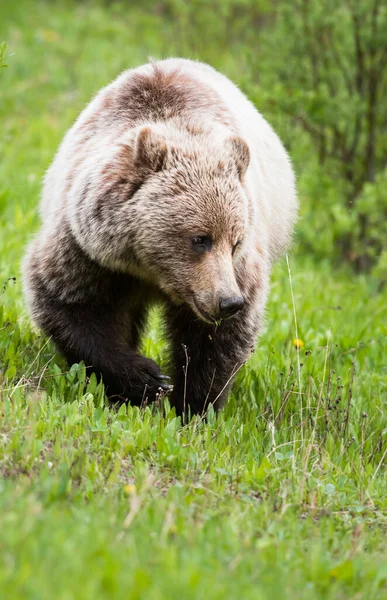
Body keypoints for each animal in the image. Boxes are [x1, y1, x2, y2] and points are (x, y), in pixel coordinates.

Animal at [22, 59, 298, 418]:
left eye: (235, 241)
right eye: (200, 238)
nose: (228, 301)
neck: (151, 270)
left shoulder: (235, 271)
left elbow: (215, 342)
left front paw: (193, 407)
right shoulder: (88, 248)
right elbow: (68, 302)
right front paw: (144, 380)